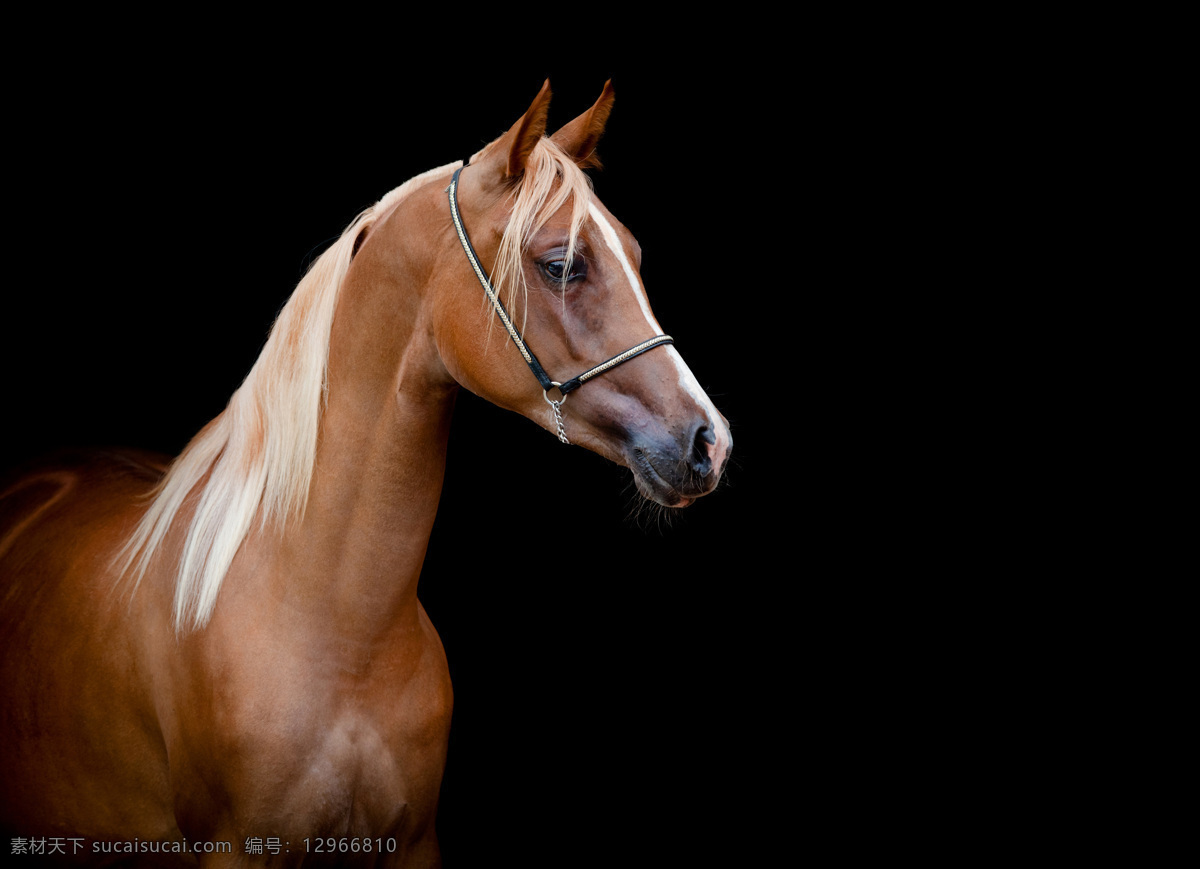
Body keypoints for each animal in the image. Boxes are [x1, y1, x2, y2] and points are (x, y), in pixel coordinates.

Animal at [0, 79, 729, 864]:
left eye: (634, 253)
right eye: (562, 264)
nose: (708, 441)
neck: (341, 632)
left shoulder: (412, 842)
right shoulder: (237, 846)